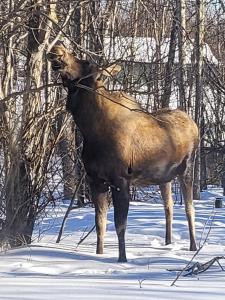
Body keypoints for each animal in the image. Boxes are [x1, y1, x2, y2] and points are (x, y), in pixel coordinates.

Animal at [48, 44, 199, 262]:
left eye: (86, 62)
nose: (58, 48)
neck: (91, 130)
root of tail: (194, 124)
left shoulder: (120, 180)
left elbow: (120, 224)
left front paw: (122, 259)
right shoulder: (95, 179)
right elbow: (100, 222)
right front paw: (99, 253)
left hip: (187, 170)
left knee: (189, 208)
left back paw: (193, 246)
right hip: (164, 178)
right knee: (168, 206)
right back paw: (168, 242)